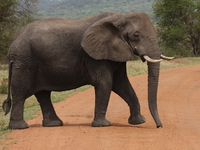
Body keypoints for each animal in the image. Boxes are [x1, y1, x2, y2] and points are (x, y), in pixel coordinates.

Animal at [2, 11, 173, 129]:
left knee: (43, 94)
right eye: (136, 35)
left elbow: (121, 83)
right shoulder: (95, 56)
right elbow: (106, 83)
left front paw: (139, 122)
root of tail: (13, 42)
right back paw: (20, 127)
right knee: (20, 93)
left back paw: (54, 124)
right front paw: (103, 125)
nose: (159, 126)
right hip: (24, 62)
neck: (120, 18)